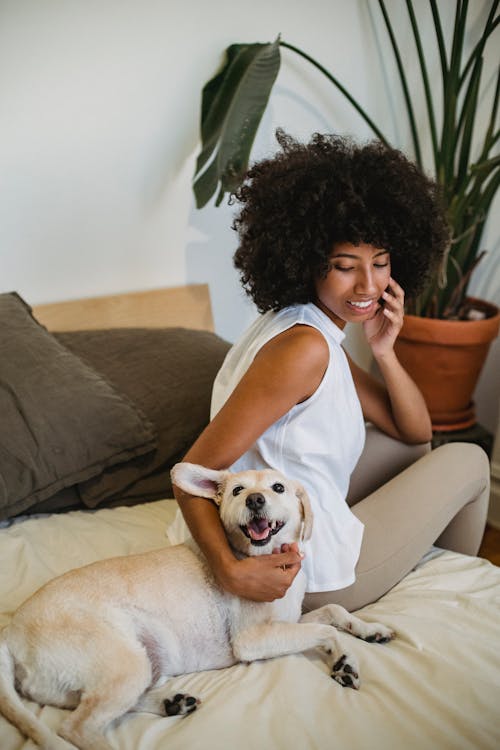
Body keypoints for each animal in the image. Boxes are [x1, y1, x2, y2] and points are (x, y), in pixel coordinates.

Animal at [0, 464, 394, 750]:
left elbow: (332, 612)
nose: (255, 500)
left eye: (278, 488)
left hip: (140, 662)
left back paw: (172, 703)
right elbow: (325, 628)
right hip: (124, 663)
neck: (260, 557)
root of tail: (9, 634)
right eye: (237, 490)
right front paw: (345, 660)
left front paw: (368, 631)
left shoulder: (289, 622)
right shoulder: (253, 640)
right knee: (76, 727)